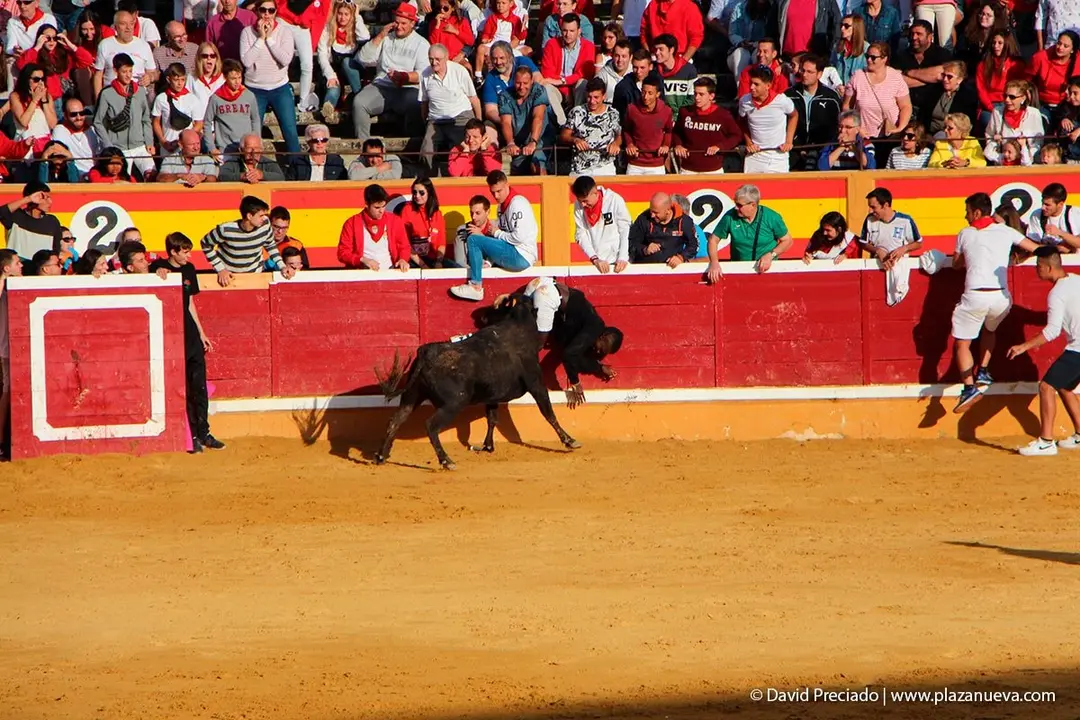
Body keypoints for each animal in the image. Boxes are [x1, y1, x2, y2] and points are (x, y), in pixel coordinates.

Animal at [374, 294, 580, 470]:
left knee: (395, 420)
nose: (483, 316)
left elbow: (492, 418)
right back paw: (446, 461)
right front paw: (569, 441)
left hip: (412, 395)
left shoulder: (493, 395)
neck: (519, 326)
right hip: (455, 402)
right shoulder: (536, 383)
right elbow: (548, 413)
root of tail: (426, 352)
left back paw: (382, 456)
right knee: (431, 426)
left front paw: (487, 446)